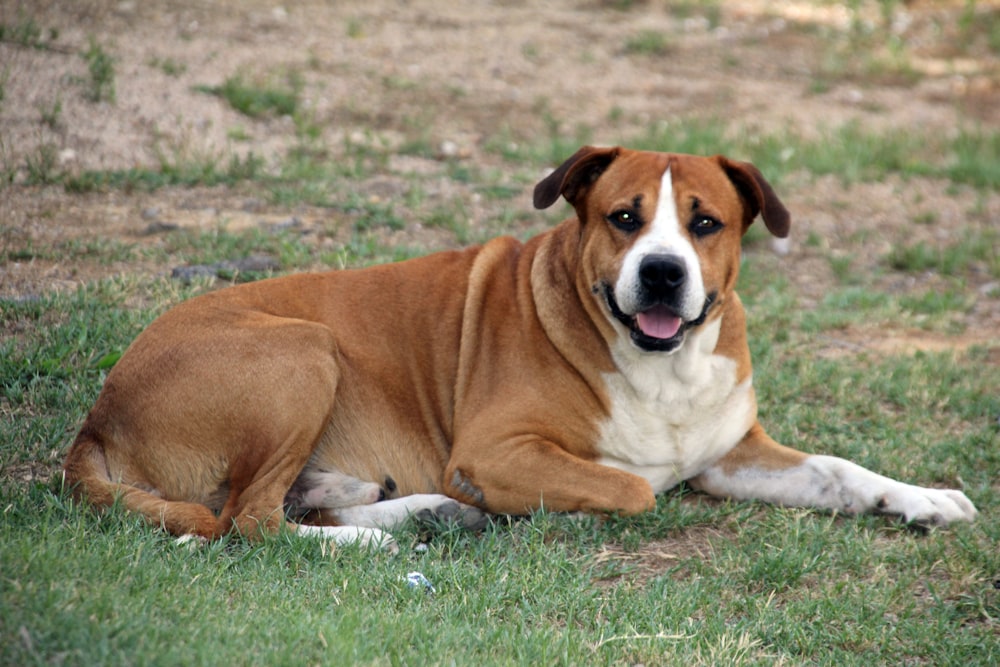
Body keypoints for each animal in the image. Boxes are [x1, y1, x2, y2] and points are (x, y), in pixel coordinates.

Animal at [60, 149, 976, 552]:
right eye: (624, 217)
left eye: (706, 222)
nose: (663, 271)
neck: (663, 367)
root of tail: (96, 418)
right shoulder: (497, 447)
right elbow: (632, 486)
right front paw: (574, 498)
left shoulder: (735, 451)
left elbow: (839, 470)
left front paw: (923, 498)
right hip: (306, 350)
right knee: (243, 521)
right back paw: (380, 538)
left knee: (280, 506)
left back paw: (406, 508)